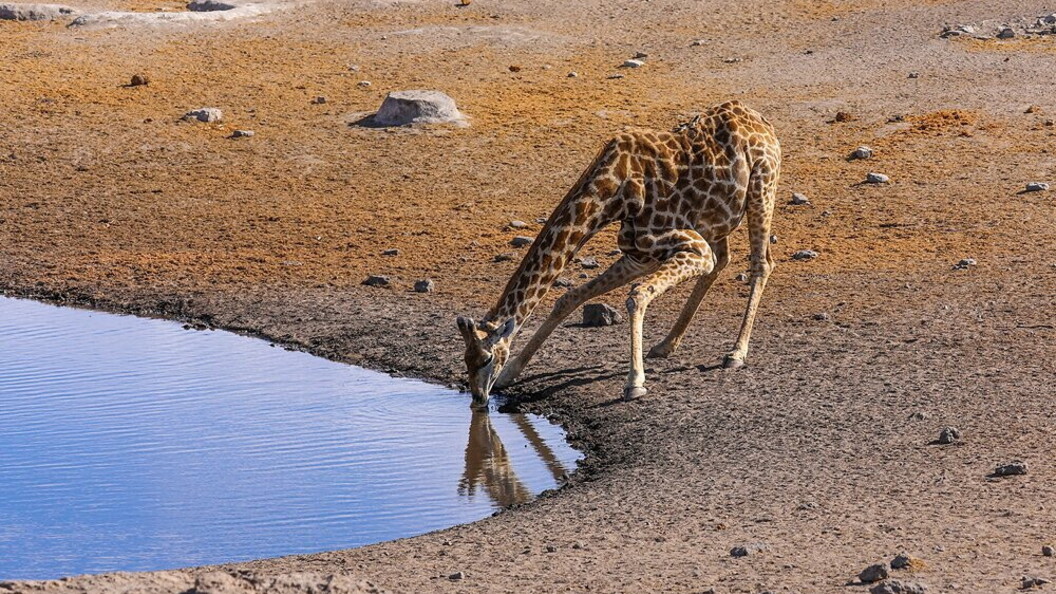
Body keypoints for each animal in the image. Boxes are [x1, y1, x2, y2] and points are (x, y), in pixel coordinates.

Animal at [457, 101, 781, 407]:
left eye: (486, 359)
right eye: (465, 360)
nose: (479, 399)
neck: (613, 192)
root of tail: (760, 119)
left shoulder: (692, 247)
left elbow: (637, 296)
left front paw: (634, 383)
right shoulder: (639, 255)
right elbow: (569, 298)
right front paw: (511, 373)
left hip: (762, 188)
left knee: (761, 263)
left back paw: (736, 352)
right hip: (718, 219)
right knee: (722, 261)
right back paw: (666, 344)